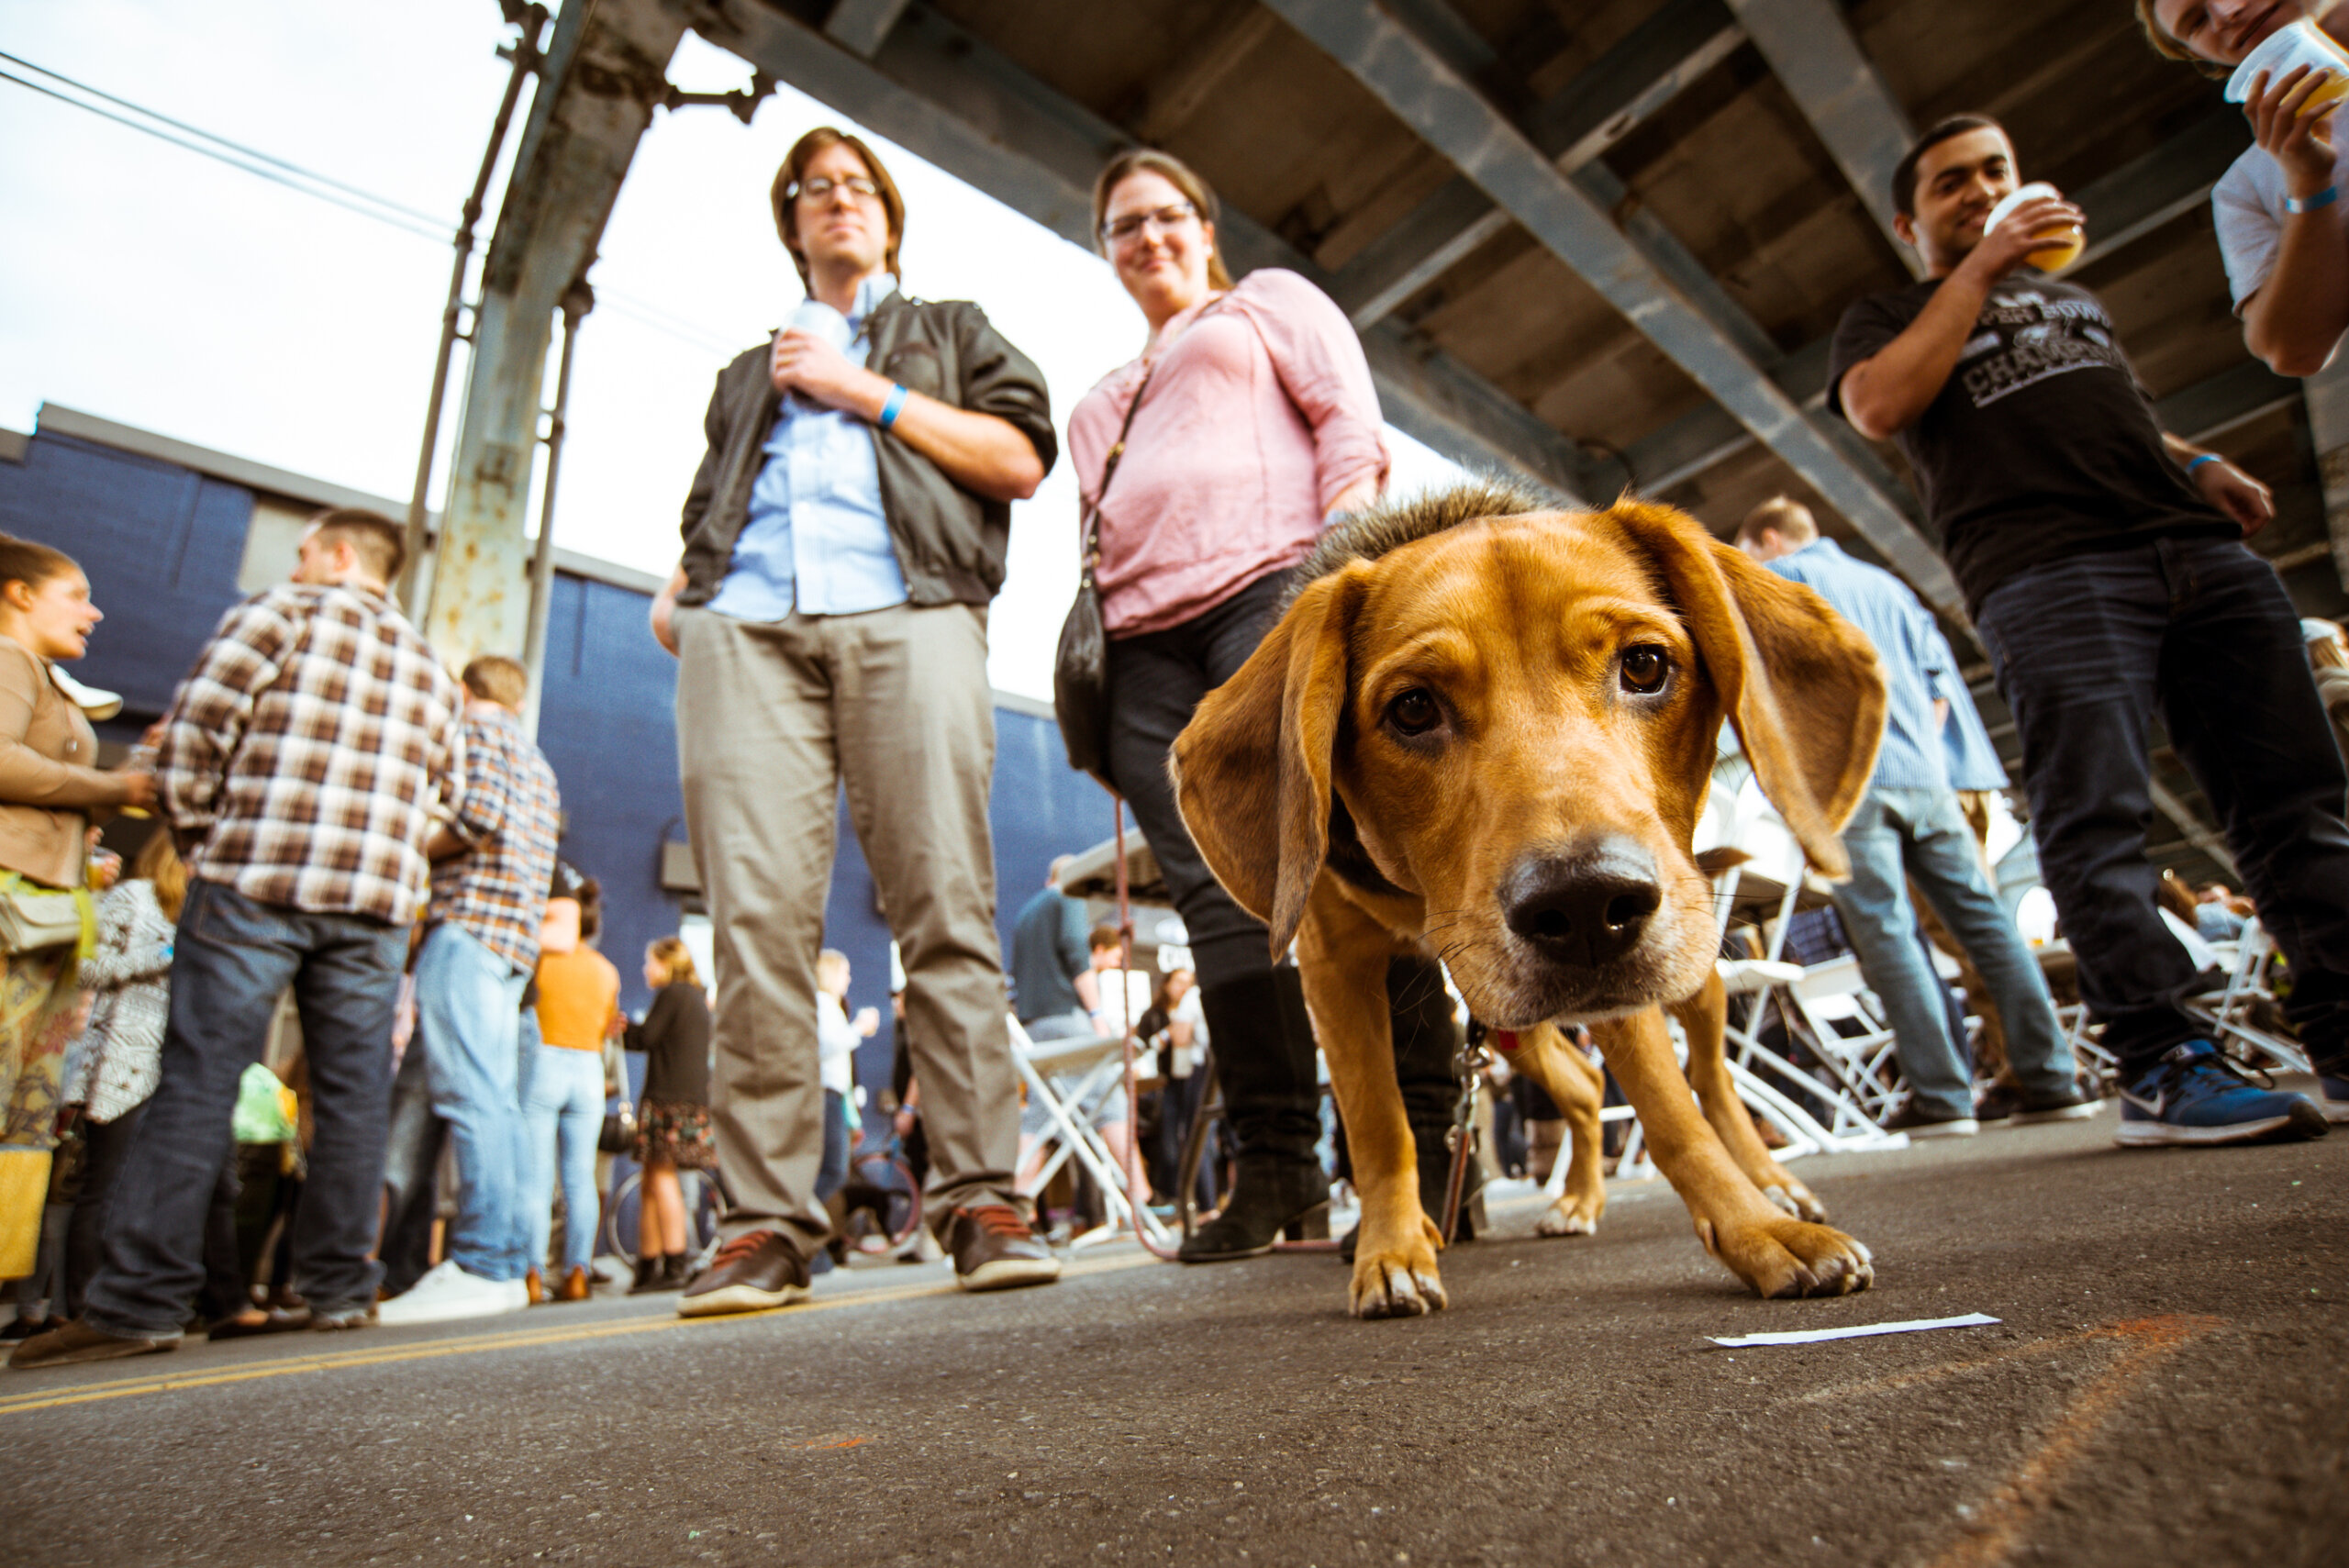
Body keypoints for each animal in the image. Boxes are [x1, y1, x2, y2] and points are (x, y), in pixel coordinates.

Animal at [1174, 484, 1888, 1314]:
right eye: (1412, 709)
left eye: (1645, 665)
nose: (1585, 906)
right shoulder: (1333, 966)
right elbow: (1379, 1125)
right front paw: (1391, 1250)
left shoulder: (1630, 992)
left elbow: (1674, 1112)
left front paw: (1757, 1231)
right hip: (1506, 1012)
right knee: (1584, 1085)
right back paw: (1576, 1199)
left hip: (1682, 976)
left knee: (1713, 1082)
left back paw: (1772, 1183)